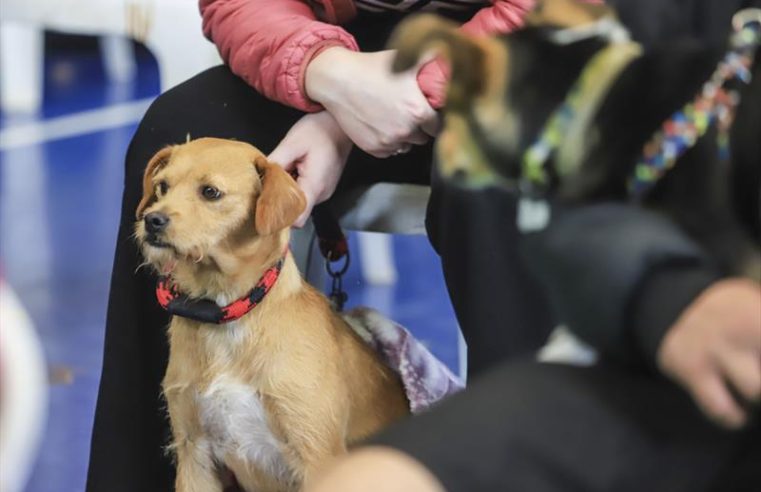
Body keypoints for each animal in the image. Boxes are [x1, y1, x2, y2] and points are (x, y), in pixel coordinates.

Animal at [137, 138, 410, 492]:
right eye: (162, 186)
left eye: (210, 192)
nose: (152, 221)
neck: (226, 316)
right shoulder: (193, 452)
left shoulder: (316, 454)